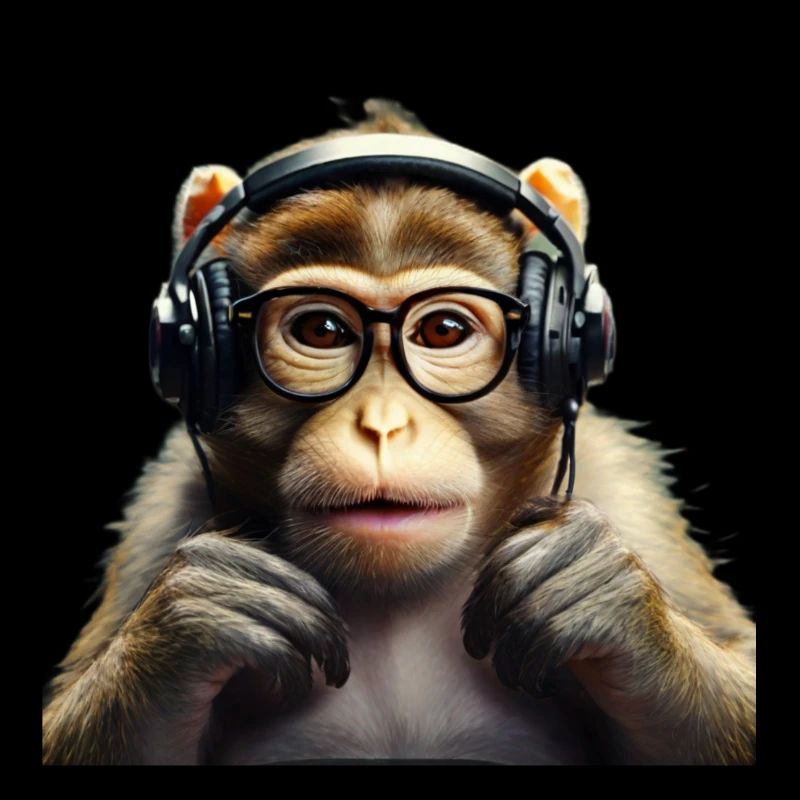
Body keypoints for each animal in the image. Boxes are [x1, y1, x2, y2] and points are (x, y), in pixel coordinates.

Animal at [41, 97, 756, 765]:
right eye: (322, 330)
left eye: (442, 330)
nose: (383, 426)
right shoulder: (164, 507)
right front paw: (195, 618)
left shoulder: (623, 486)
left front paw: (599, 593)